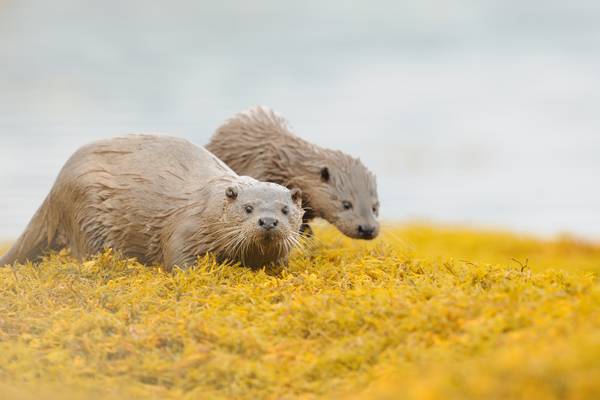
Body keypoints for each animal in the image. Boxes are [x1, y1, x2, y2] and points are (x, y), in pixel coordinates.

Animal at [1, 134, 304, 268]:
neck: (210, 212)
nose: (268, 221)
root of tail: (56, 187)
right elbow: (178, 260)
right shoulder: (186, 229)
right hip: (86, 211)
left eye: (285, 209)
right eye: (248, 208)